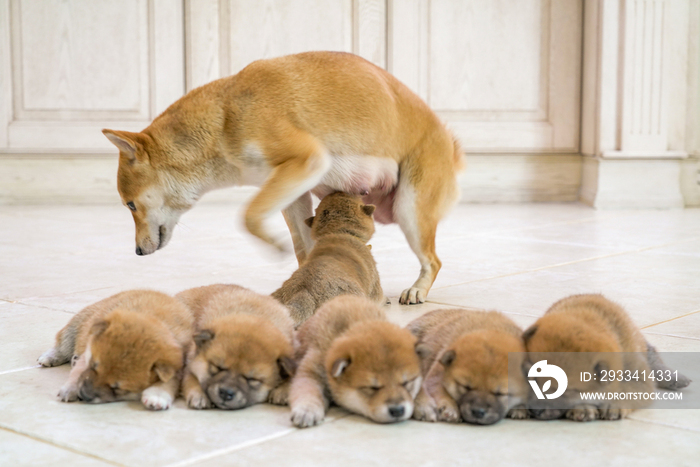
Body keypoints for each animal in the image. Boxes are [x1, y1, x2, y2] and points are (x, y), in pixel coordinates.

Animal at [38, 290, 194, 412]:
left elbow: (169, 383)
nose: (84, 394)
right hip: (75, 326)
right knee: (62, 345)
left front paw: (157, 395)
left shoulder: (177, 367)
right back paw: (49, 357)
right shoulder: (87, 351)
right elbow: (78, 372)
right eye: (93, 366)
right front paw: (70, 389)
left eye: (117, 388)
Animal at [102, 51, 464, 308]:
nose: (137, 252)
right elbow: (303, 246)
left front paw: (275, 244)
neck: (225, 117)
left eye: (130, 205)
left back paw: (416, 290)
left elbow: (247, 216)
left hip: (410, 210)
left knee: (433, 261)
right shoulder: (293, 191)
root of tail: (450, 142)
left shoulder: (306, 161)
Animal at [288, 296, 422, 428]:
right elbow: (309, 391)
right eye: (373, 388)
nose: (398, 410)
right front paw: (306, 410)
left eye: (406, 383)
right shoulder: (312, 371)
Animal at [524, 294, 692, 422]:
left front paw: (613, 404)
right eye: (532, 378)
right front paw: (584, 407)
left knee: (654, 358)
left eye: (565, 391)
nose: (535, 411)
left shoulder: (639, 379)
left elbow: (626, 390)